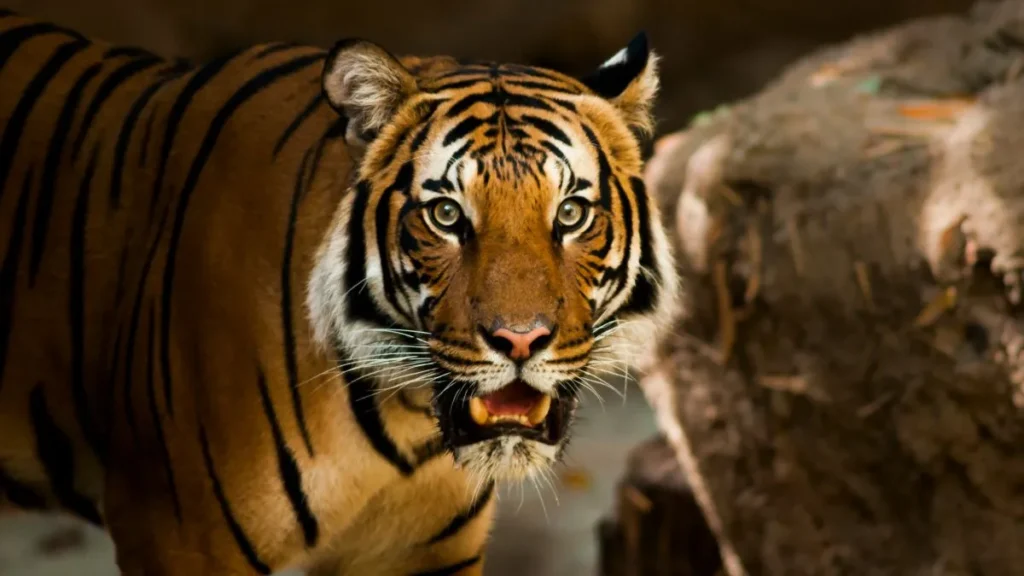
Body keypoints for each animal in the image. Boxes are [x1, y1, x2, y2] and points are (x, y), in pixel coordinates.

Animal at [0, 8, 680, 576]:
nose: (520, 340)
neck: (404, 424)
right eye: (446, 215)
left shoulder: (427, 554)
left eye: (570, 214)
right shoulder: (179, 537)